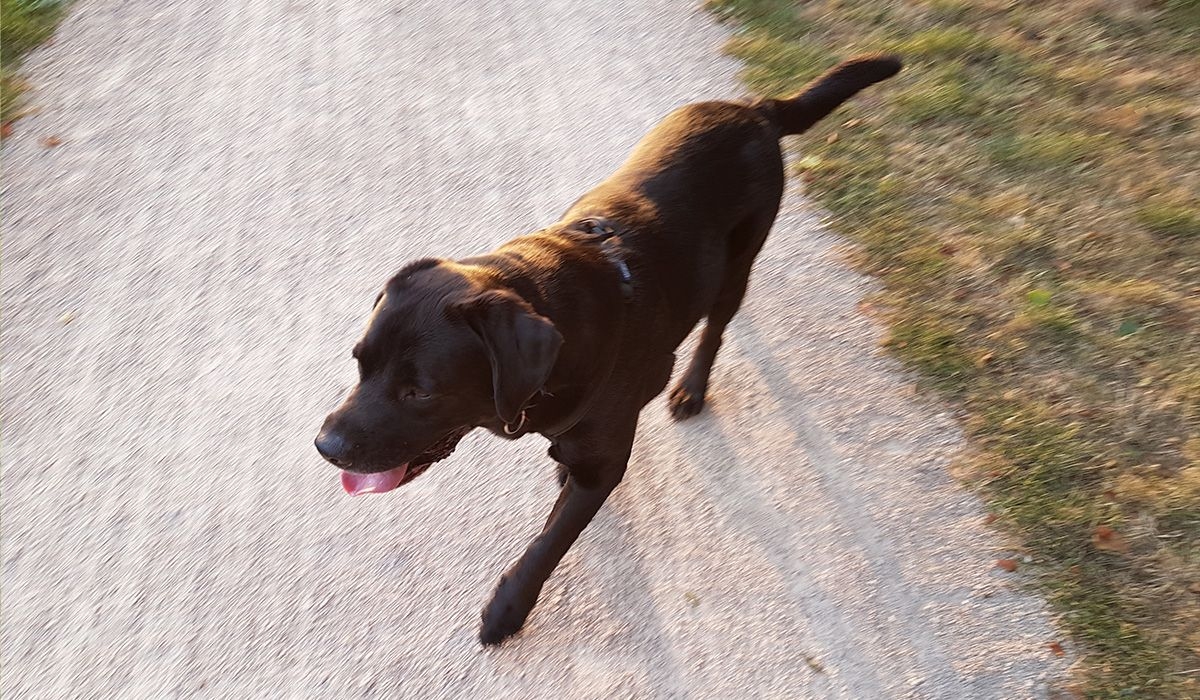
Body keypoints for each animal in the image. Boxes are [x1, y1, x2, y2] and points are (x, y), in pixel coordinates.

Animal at [319, 54, 902, 648]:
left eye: (419, 392)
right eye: (359, 363)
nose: (324, 445)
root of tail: (753, 109)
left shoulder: (603, 466)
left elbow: (547, 544)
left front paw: (508, 608)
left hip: (741, 258)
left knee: (716, 326)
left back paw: (691, 387)